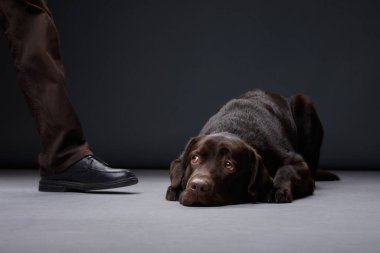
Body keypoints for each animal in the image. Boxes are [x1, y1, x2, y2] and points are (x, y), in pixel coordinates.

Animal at [166, 90, 338, 207]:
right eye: (194, 158)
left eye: (229, 165)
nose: (198, 186)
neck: (233, 128)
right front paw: (175, 188)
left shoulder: (298, 163)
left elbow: (287, 169)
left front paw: (277, 188)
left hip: (306, 105)